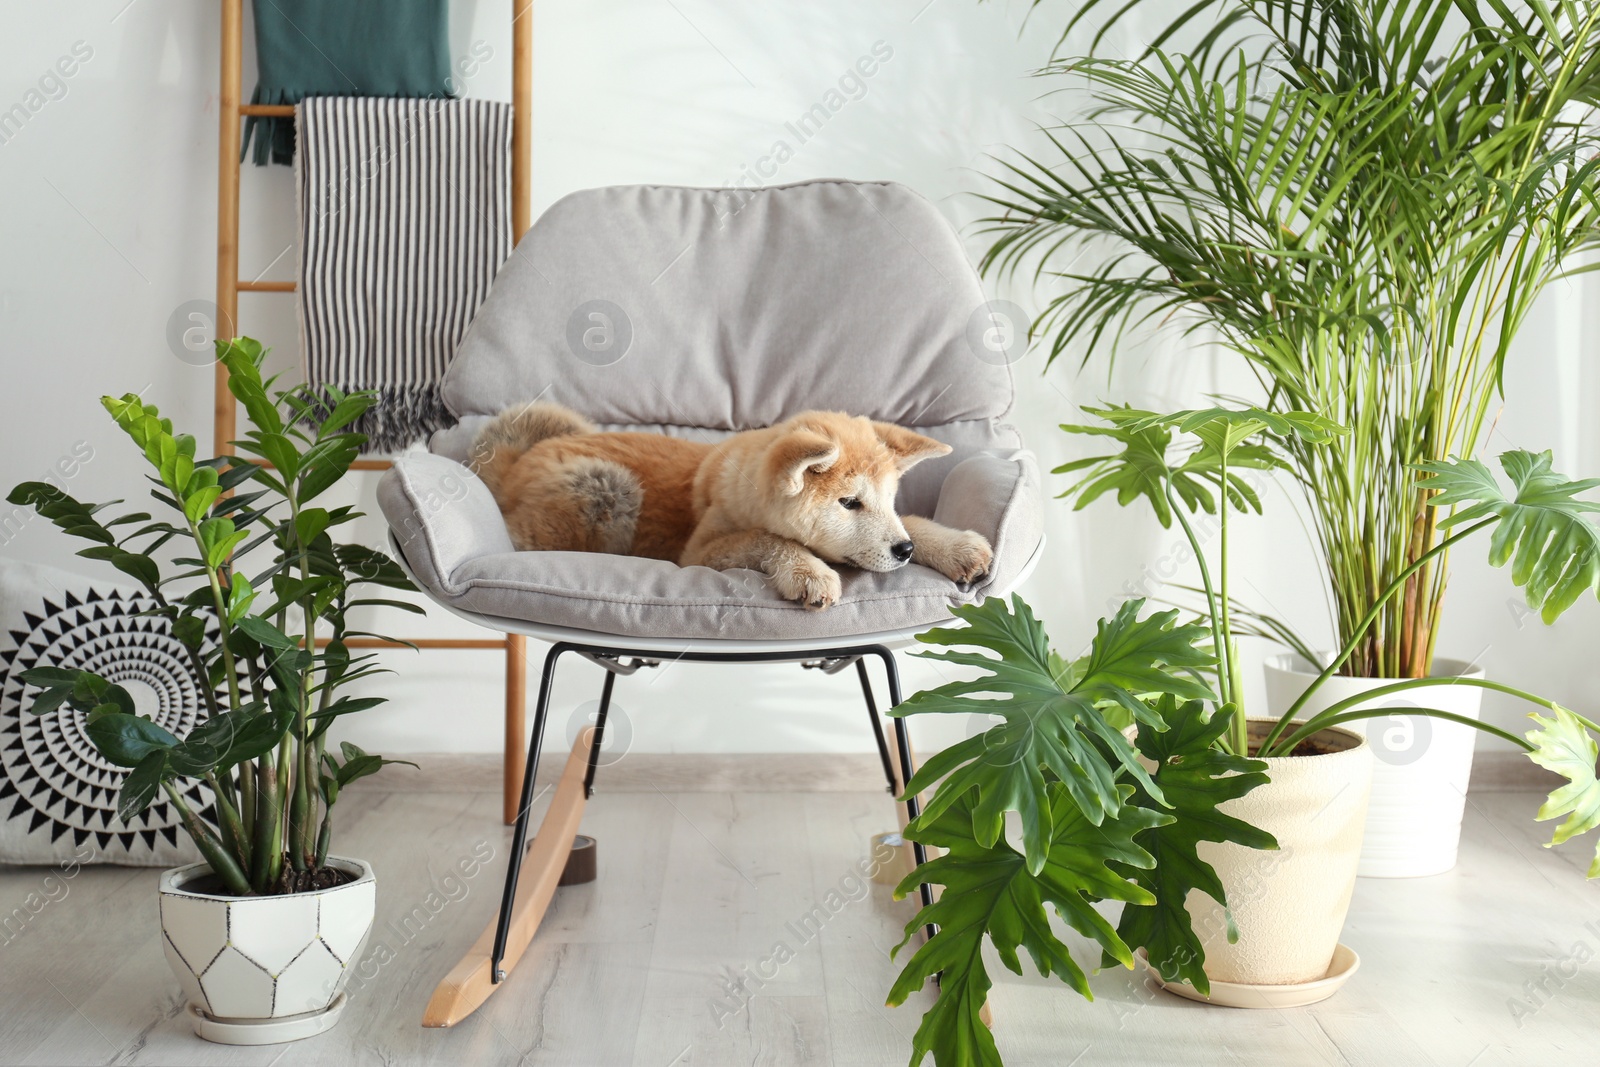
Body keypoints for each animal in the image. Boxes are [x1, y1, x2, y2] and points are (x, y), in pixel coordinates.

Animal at [467, 403, 992, 607]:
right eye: (849, 503)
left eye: (887, 501)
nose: (904, 553)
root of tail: (520, 462)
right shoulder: (699, 553)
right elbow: (769, 538)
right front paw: (808, 571)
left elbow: (915, 521)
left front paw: (956, 547)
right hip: (607, 487)